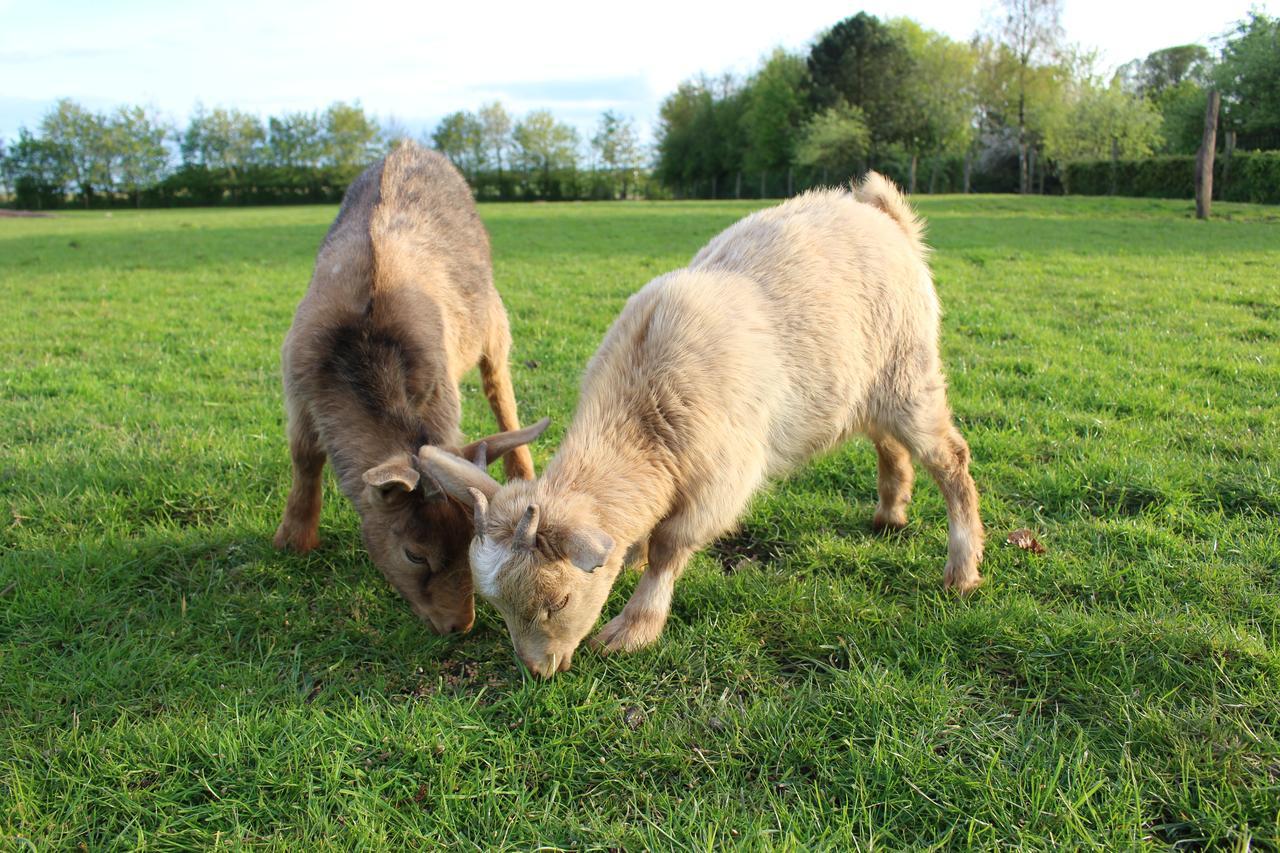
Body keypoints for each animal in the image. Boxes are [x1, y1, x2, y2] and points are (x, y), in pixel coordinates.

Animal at [275, 139, 545, 630]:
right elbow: (305, 456)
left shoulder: (441, 393)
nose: (459, 625)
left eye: (471, 541)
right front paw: (293, 539)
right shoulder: (297, 386)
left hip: (495, 323)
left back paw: (522, 472)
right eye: (414, 554)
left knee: (501, 390)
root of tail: (408, 145)